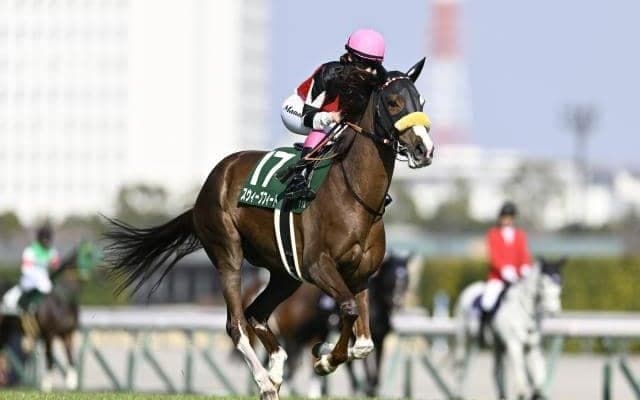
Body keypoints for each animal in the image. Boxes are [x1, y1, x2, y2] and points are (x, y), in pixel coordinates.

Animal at [0, 241, 102, 391]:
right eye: (88, 254)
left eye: (98, 253)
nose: (103, 272)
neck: (63, 299)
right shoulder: (49, 333)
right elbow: (50, 357)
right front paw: (46, 385)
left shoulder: (68, 333)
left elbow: (70, 357)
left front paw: (72, 383)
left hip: (7, 331)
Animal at [105, 59, 434, 400]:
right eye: (393, 102)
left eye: (420, 102)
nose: (424, 149)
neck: (354, 194)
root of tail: (211, 182)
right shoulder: (318, 265)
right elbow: (348, 309)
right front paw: (325, 360)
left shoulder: (359, 276)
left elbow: (364, 342)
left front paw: (324, 352)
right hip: (228, 253)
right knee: (236, 323)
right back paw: (264, 381)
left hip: (285, 274)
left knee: (257, 314)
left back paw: (276, 370)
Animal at [453, 258, 566, 400]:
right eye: (542, 284)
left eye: (560, 283)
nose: (554, 311)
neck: (524, 312)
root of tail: (469, 288)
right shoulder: (514, 344)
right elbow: (520, 377)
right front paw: (523, 393)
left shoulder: (532, 346)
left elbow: (539, 377)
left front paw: (537, 393)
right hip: (463, 338)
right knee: (460, 367)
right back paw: (458, 393)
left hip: (495, 345)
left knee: (497, 371)